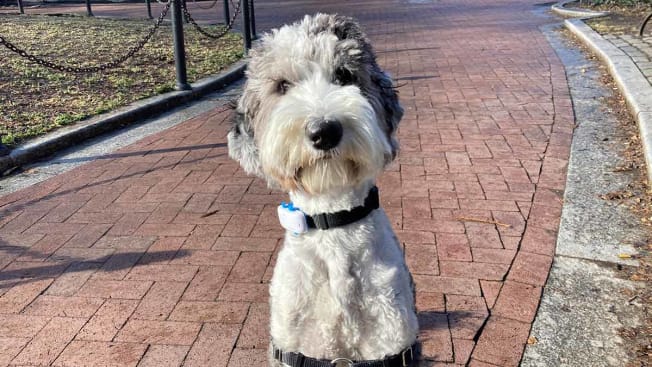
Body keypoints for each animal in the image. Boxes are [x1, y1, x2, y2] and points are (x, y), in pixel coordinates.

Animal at [227, 12, 418, 366]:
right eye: (282, 86)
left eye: (344, 75)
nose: (324, 131)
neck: (332, 221)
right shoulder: (293, 345)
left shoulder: (392, 344)